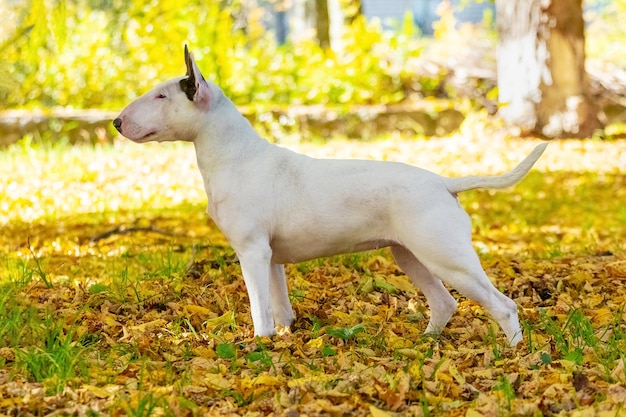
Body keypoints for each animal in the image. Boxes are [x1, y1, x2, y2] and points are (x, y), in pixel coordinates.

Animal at [114, 45, 544, 344]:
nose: (117, 122)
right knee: (445, 303)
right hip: (410, 255)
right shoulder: (271, 258)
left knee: (503, 306)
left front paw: (257, 347)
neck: (235, 156)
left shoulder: (252, 252)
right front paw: (283, 340)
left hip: (447, 257)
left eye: (162, 97)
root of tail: (444, 182)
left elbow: (259, 310)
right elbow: (280, 309)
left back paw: (515, 354)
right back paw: (425, 344)